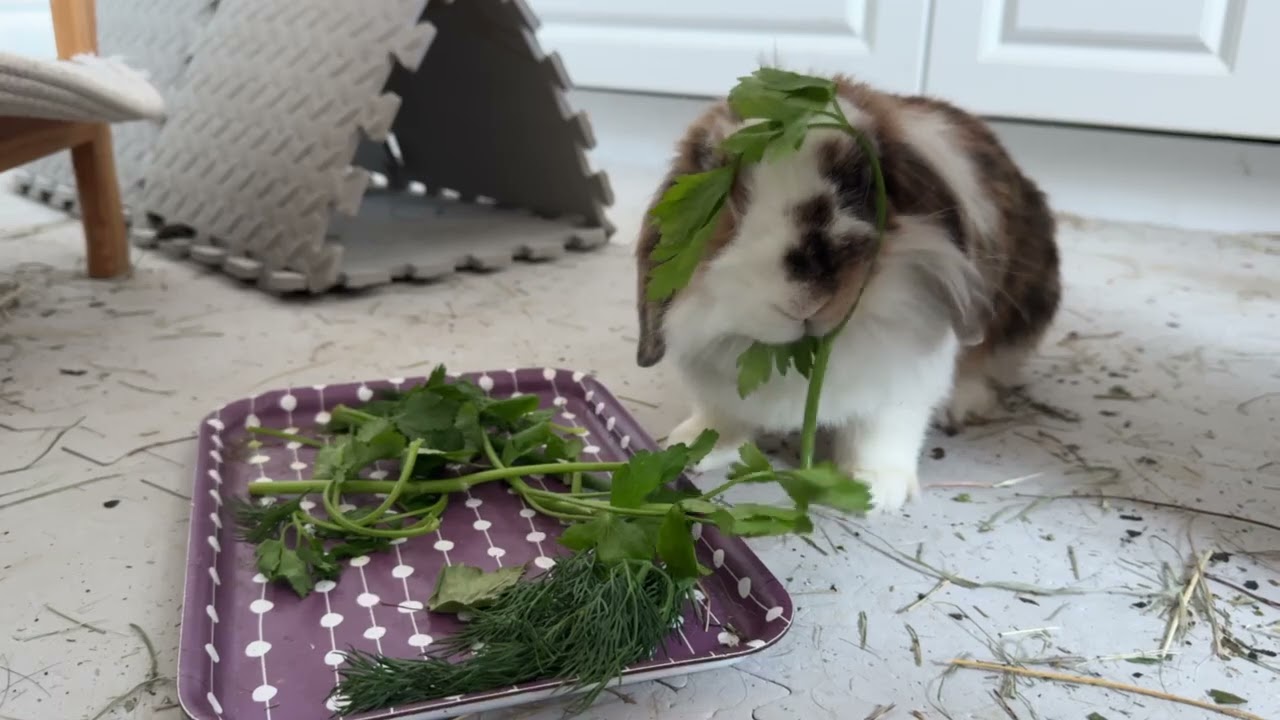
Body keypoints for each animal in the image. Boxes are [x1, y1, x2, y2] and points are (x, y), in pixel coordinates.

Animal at [633, 75, 1061, 514]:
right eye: (733, 200)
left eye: (857, 185)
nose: (806, 299)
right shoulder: (717, 388)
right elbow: (723, 418)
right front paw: (692, 447)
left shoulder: (902, 387)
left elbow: (882, 432)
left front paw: (875, 491)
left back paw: (964, 404)